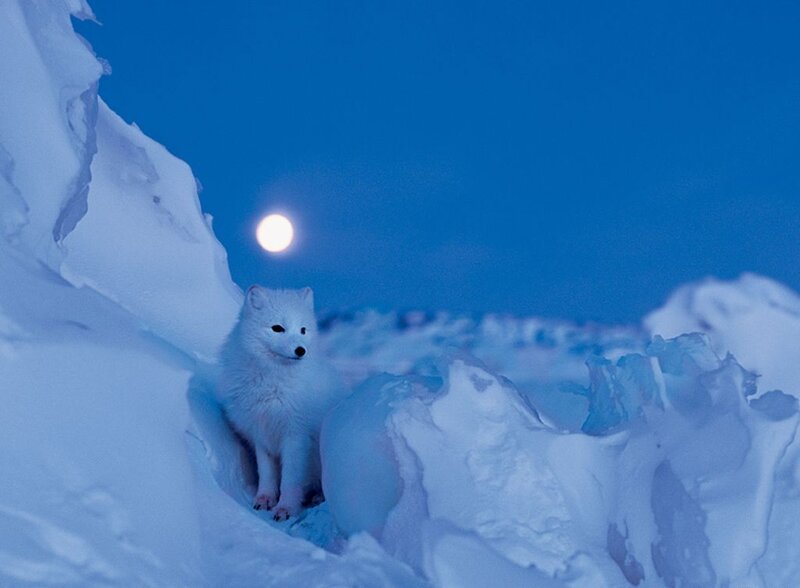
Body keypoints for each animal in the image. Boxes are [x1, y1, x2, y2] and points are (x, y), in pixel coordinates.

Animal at [216, 285, 341, 521]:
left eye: (303, 330)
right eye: (277, 328)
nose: (301, 350)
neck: (271, 384)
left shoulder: (296, 436)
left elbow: (290, 480)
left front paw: (285, 508)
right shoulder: (260, 433)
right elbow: (266, 473)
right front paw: (263, 499)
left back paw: (317, 497)